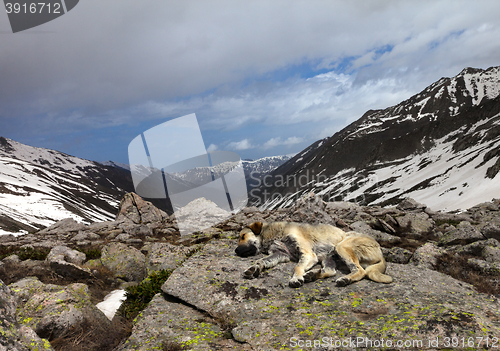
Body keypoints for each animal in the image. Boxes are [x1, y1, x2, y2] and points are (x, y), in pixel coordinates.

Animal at [236, 223, 392, 288]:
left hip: (342, 246)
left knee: (360, 270)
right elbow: (263, 260)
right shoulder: (280, 254)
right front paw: (254, 268)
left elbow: (297, 267)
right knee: (331, 271)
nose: (236, 251)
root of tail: (380, 251)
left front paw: (296, 278)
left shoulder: (308, 254)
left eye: (243, 236)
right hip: (328, 257)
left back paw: (345, 279)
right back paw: (313, 275)